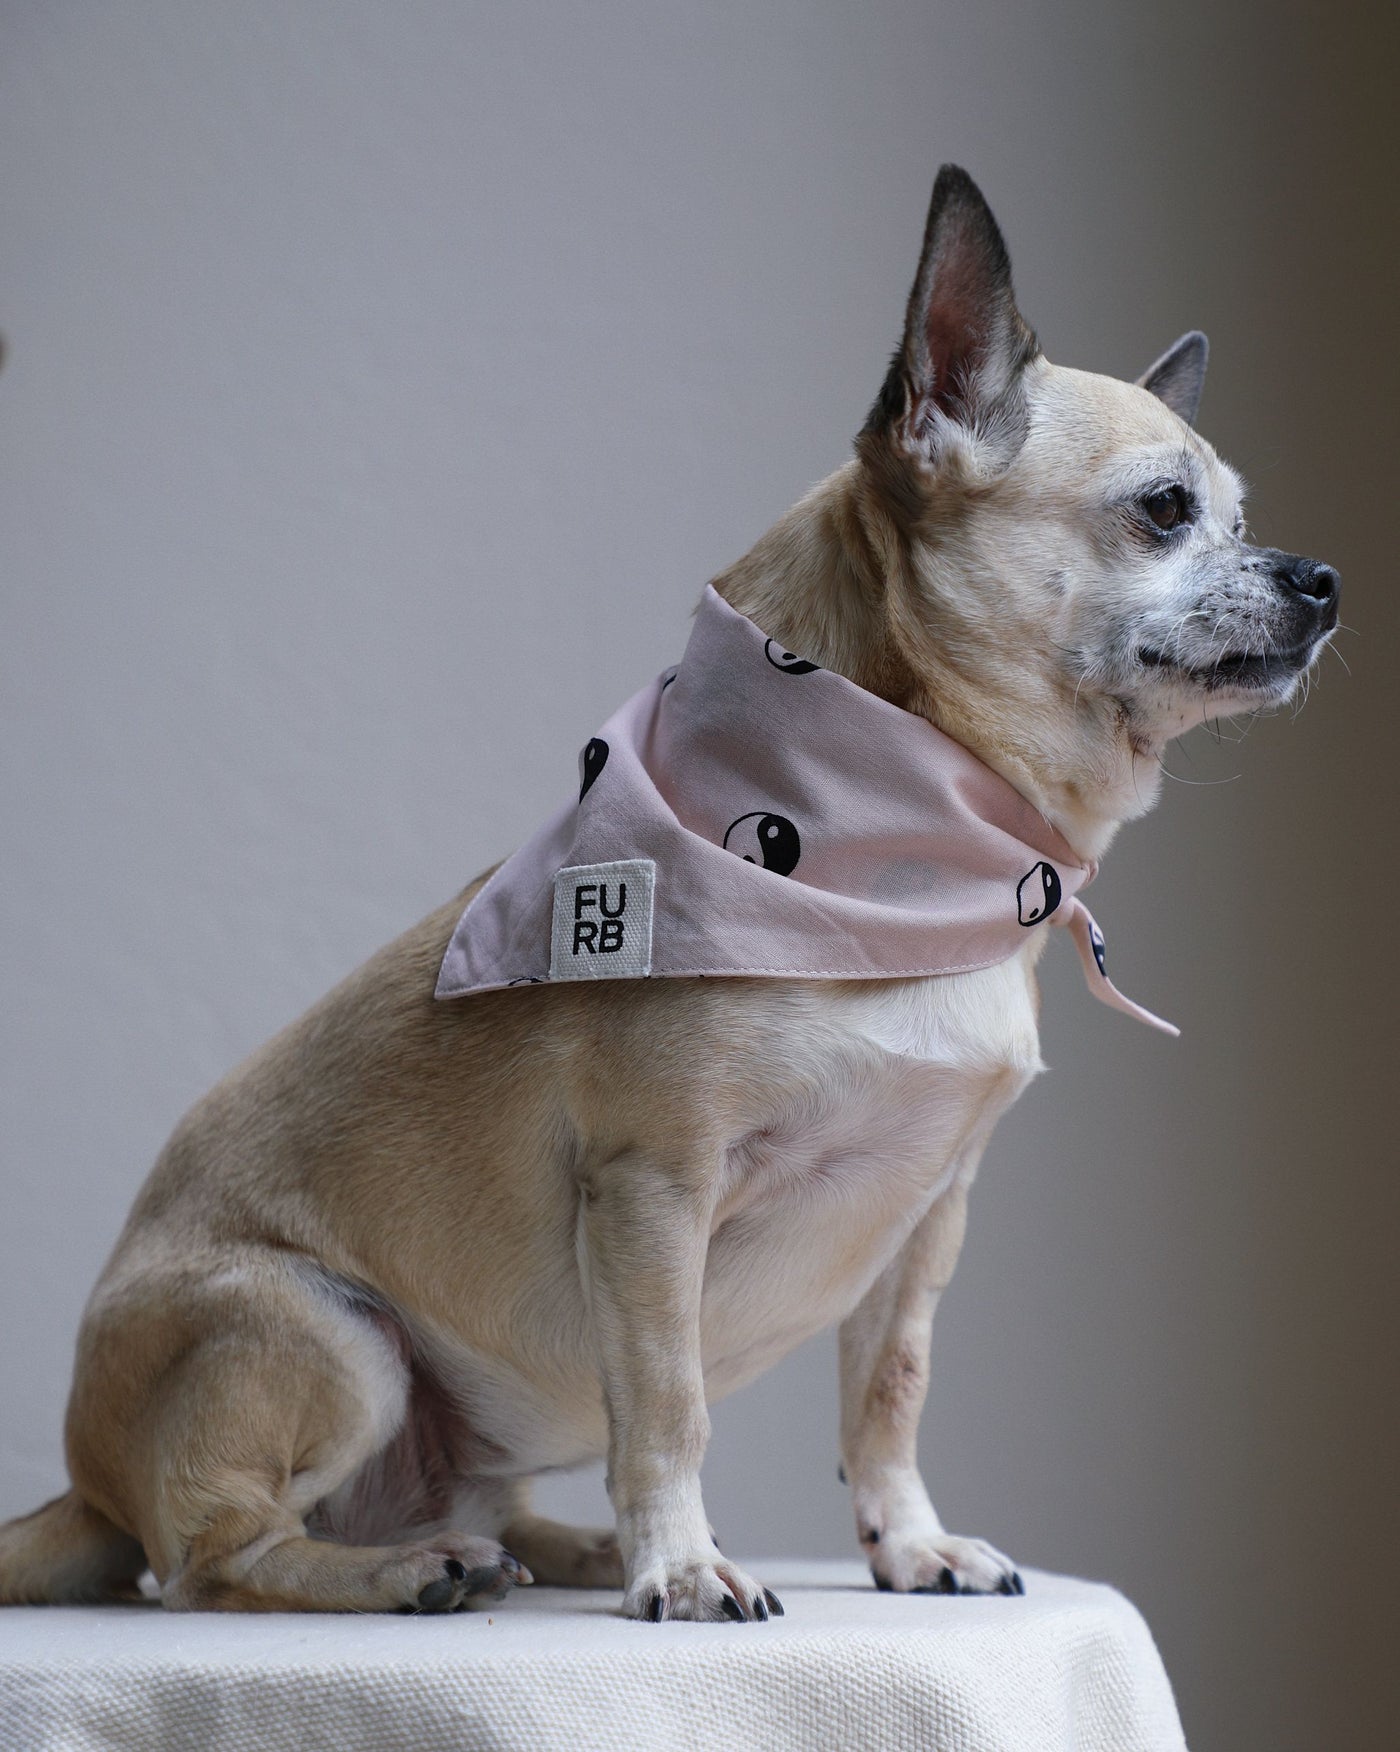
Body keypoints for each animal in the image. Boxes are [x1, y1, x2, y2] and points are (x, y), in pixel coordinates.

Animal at [0, 170, 1338, 1618]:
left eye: (1242, 520)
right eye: (1163, 510)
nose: (1324, 580)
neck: (926, 846)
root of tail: (90, 1483)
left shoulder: (921, 1224)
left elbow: (889, 1393)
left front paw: (906, 1545)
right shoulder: (655, 1193)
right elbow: (668, 1401)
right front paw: (683, 1568)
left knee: (463, 1506)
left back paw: (550, 1550)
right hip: (326, 1335)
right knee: (212, 1559)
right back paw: (413, 1574)